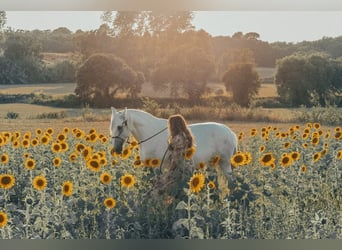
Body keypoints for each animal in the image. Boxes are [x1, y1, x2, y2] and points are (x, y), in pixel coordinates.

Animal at [109, 107, 238, 180]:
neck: (150, 133)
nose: (116, 149)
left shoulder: (157, 167)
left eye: (119, 127)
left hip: (225, 163)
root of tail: (231, 133)